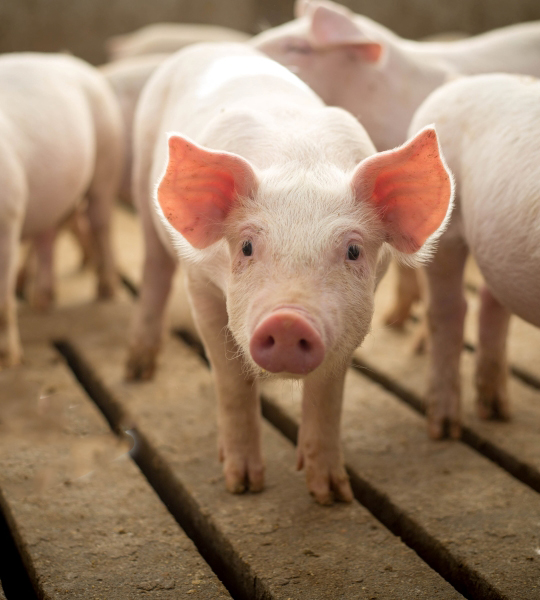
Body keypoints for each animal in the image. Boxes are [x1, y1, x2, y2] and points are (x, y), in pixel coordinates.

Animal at [0, 54, 122, 368]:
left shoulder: (9, 215)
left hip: (107, 157)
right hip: (53, 196)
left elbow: (3, 299)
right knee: (48, 236)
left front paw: (9, 361)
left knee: (101, 223)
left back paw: (106, 292)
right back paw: (42, 302)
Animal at [127, 41, 452, 502]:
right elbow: (230, 381)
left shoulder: (351, 318)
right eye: (246, 246)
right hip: (142, 183)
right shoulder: (200, 283)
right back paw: (137, 369)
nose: (286, 320)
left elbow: (327, 393)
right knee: (154, 267)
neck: (301, 163)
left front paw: (332, 494)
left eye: (353, 250)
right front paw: (243, 485)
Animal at [410, 74, 540, 440]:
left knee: (490, 298)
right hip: (443, 231)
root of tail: (458, 82)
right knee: (447, 310)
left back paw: (497, 412)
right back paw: (443, 429)